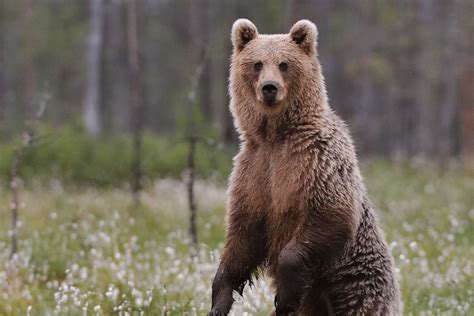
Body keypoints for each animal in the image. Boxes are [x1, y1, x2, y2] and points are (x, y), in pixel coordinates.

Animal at [209, 19, 402, 316]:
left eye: (284, 64)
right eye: (257, 64)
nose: (269, 88)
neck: (276, 136)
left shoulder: (316, 162)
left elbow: (330, 214)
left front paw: (284, 298)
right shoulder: (253, 170)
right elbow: (243, 236)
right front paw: (220, 298)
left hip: (358, 284)